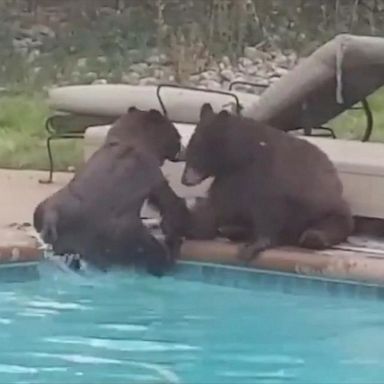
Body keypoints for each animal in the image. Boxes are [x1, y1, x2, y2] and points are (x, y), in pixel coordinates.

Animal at [33, 106, 190, 276]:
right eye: (177, 135)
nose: (183, 149)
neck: (130, 140)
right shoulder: (151, 172)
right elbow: (167, 201)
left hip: (50, 212)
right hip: (118, 232)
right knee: (148, 247)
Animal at [182, 103, 354, 260]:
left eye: (196, 154)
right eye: (188, 150)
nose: (184, 180)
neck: (243, 157)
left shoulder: (266, 175)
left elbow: (268, 209)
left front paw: (256, 245)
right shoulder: (229, 179)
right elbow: (217, 205)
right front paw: (193, 226)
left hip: (329, 210)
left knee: (327, 226)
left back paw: (314, 237)